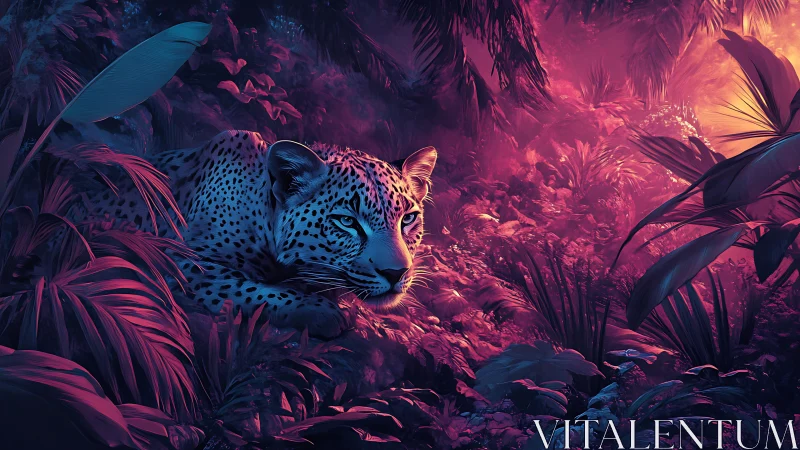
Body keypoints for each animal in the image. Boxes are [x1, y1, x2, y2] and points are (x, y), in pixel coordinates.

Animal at [86, 130, 437, 338]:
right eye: (347, 222)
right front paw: (324, 313)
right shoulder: (181, 262)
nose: (396, 273)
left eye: (408, 219)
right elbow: (251, 288)